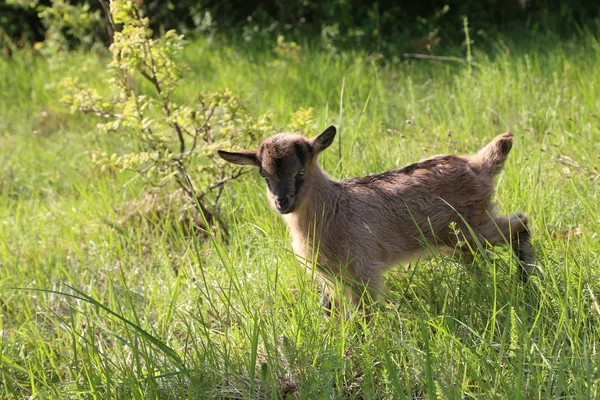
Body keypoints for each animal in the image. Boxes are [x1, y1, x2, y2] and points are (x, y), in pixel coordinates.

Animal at [218, 126, 536, 308]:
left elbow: (364, 315)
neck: (334, 205)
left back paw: (527, 282)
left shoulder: (364, 270)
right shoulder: (331, 279)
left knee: (521, 224)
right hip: (461, 239)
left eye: (301, 171)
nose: (281, 202)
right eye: (264, 174)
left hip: (473, 226)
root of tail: (478, 165)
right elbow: (330, 311)